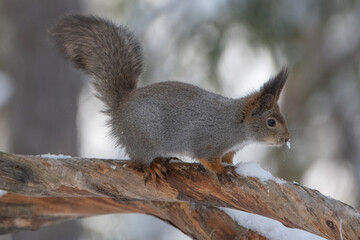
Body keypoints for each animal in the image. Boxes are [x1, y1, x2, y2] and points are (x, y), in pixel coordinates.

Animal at [50, 14, 290, 184]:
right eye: (271, 122)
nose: (286, 138)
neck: (236, 125)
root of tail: (120, 107)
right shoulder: (207, 141)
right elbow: (208, 160)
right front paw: (222, 171)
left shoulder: (229, 149)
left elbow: (228, 157)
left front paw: (231, 166)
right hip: (144, 138)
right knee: (138, 161)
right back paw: (153, 166)